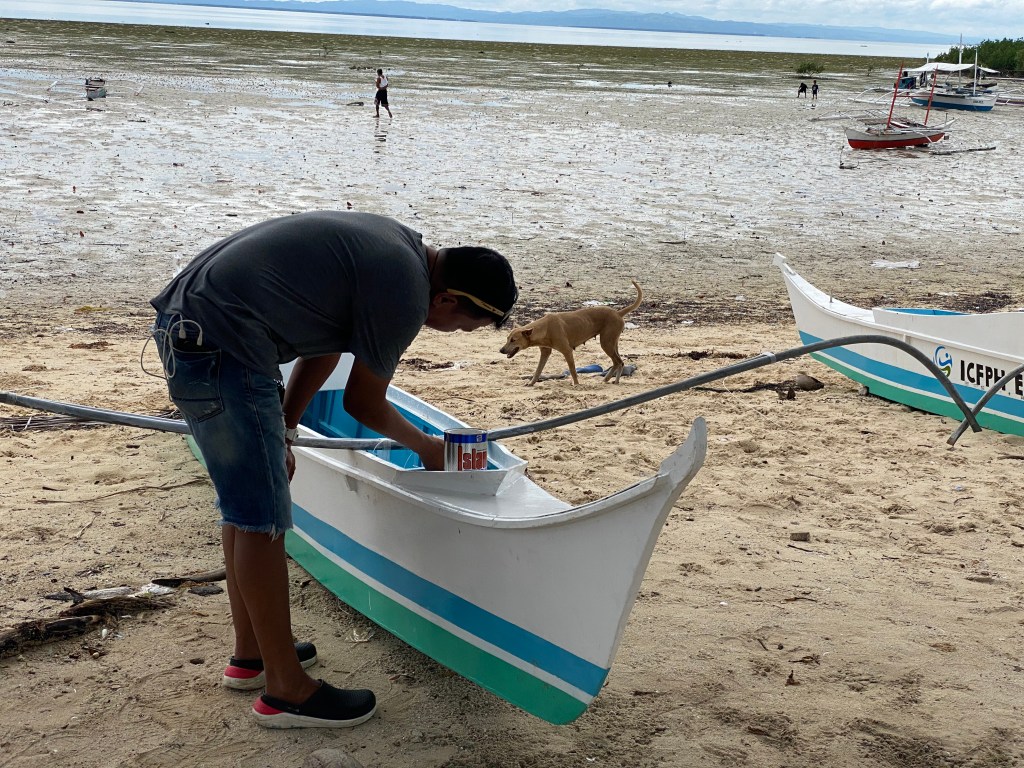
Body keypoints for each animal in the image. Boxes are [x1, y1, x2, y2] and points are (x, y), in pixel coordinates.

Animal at [500, 281, 642, 386]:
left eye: (513, 340)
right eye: (507, 338)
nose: (501, 350)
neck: (544, 328)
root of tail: (617, 313)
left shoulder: (567, 351)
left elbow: (573, 370)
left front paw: (577, 384)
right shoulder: (545, 352)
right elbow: (538, 370)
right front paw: (531, 383)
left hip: (606, 343)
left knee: (617, 362)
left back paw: (609, 380)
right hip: (612, 342)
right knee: (620, 362)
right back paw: (611, 380)